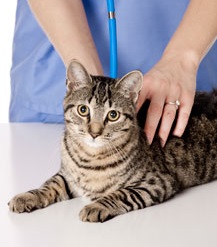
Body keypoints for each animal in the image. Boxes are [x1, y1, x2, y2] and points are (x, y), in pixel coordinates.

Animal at [8, 59, 217, 222]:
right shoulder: (67, 176)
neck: (89, 158)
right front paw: (27, 196)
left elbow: (121, 194)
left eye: (113, 115)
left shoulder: (156, 182)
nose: (94, 132)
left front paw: (97, 206)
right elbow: (49, 184)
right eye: (83, 110)